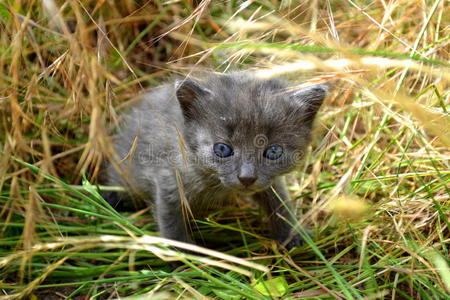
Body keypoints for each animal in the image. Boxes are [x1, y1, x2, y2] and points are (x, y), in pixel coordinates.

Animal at [102, 72, 326, 248]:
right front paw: (184, 255)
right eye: (222, 149)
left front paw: (292, 234)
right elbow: (171, 220)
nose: (247, 177)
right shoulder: (169, 180)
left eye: (273, 151)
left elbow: (280, 202)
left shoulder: (269, 182)